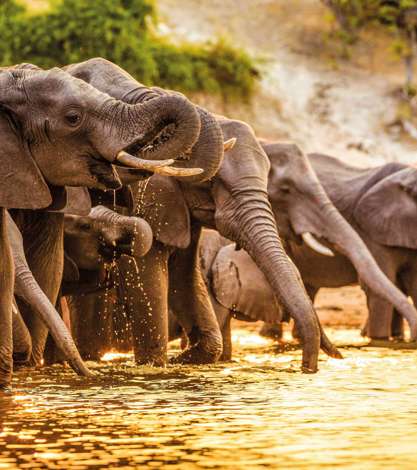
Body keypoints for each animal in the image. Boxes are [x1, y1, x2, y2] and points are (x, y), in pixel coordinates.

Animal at [65, 58, 342, 372]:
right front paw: (158, 366)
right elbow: (147, 282)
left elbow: (186, 279)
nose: (308, 369)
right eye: (210, 183)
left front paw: (186, 359)